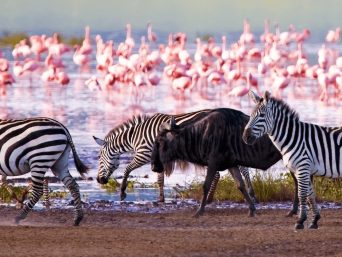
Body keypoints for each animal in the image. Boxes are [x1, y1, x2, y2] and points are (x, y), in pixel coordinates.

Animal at [93, 109, 256, 203]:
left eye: (99, 159)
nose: (99, 180)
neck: (135, 136)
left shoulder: (143, 154)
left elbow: (127, 169)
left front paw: (122, 193)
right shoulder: (158, 158)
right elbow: (160, 180)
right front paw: (161, 199)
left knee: (223, 172)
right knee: (242, 168)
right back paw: (251, 193)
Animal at [243, 89, 340, 228]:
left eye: (262, 115)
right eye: (250, 115)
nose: (245, 137)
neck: (293, 137)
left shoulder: (303, 168)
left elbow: (302, 194)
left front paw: (300, 221)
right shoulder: (305, 169)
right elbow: (311, 195)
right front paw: (314, 220)